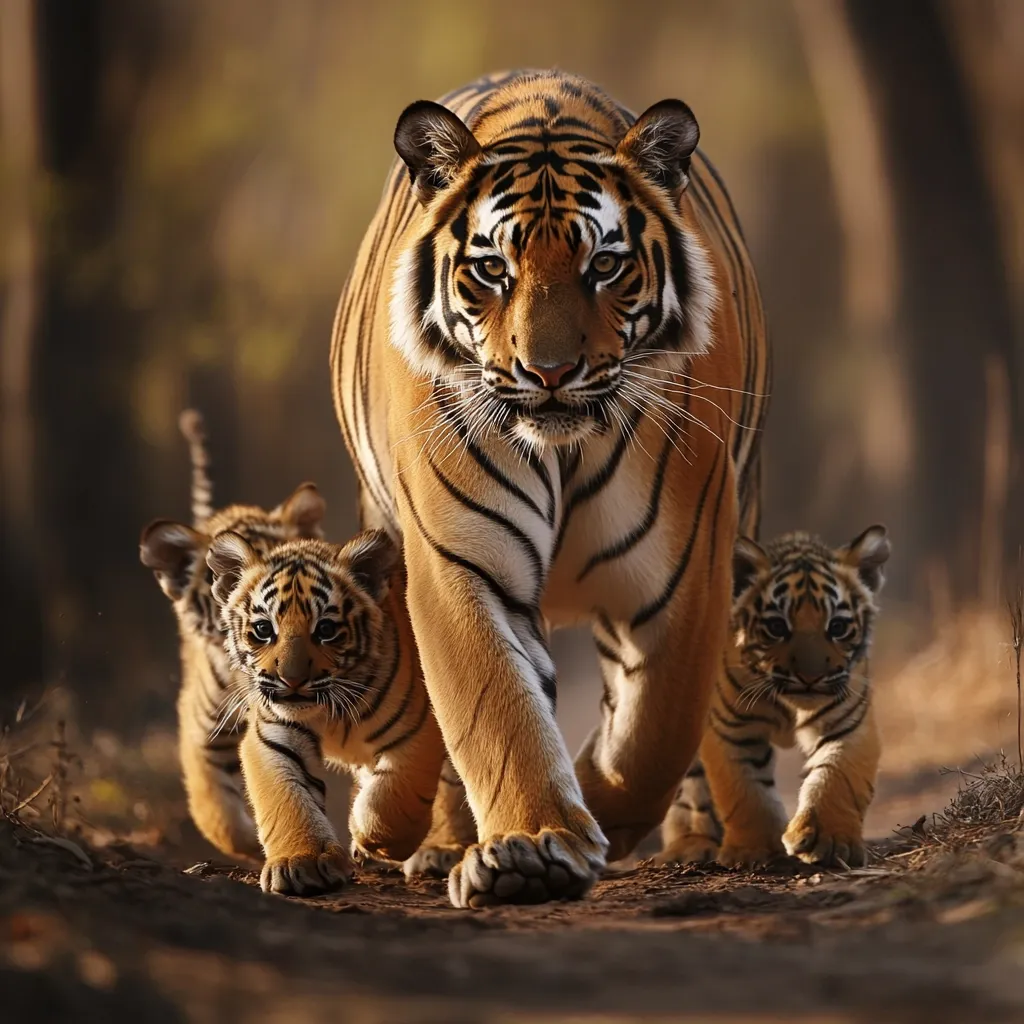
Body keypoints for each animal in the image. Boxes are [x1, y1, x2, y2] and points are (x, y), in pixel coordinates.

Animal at [206, 529, 458, 895]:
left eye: (325, 629)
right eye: (264, 629)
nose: (292, 679)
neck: (329, 710)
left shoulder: (416, 730)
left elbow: (394, 799)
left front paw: (370, 839)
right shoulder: (274, 735)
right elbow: (288, 798)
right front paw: (300, 862)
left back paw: (440, 852)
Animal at [331, 70, 769, 908]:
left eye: (604, 266)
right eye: (492, 271)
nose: (549, 372)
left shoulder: (684, 568)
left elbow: (654, 736)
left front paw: (592, 809)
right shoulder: (463, 561)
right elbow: (495, 710)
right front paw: (532, 846)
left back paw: (703, 843)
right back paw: (425, 837)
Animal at [659, 526, 891, 869]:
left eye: (837, 626)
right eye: (776, 626)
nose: (810, 676)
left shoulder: (847, 723)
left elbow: (835, 778)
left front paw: (829, 841)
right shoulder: (732, 730)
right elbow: (745, 792)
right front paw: (753, 851)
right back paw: (690, 844)